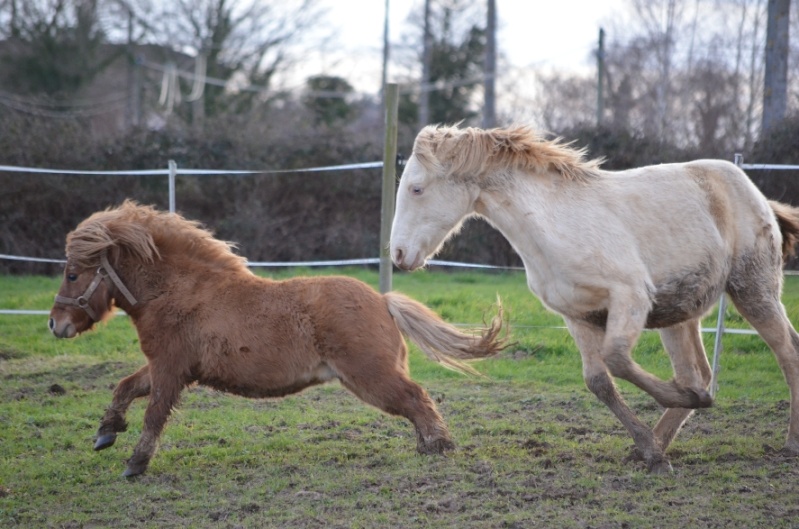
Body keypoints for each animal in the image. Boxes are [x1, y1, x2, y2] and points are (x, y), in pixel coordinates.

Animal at [48, 200, 506, 476]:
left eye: (72, 274)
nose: (55, 324)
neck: (181, 292)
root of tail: (382, 300)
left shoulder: (169, 370)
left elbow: (153, 415)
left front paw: (135, 463)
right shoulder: (169, 368)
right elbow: (124, 388)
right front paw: (106, 432)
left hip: (370, 378)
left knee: (417, 398)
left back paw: (439, 446)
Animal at [392, 125, 799, 474]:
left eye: (416, 189)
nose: (397, 254)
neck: (553, 226)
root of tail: (757, 195)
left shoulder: (630, 296)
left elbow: (617, 359)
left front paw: (681, 409)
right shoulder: (578, 315)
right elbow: (599, 381)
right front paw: (652, 451)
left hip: (753, 290)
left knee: (787, 354)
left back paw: (789, 444)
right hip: (680, 314)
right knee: (698, 372)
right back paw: (659, 439)